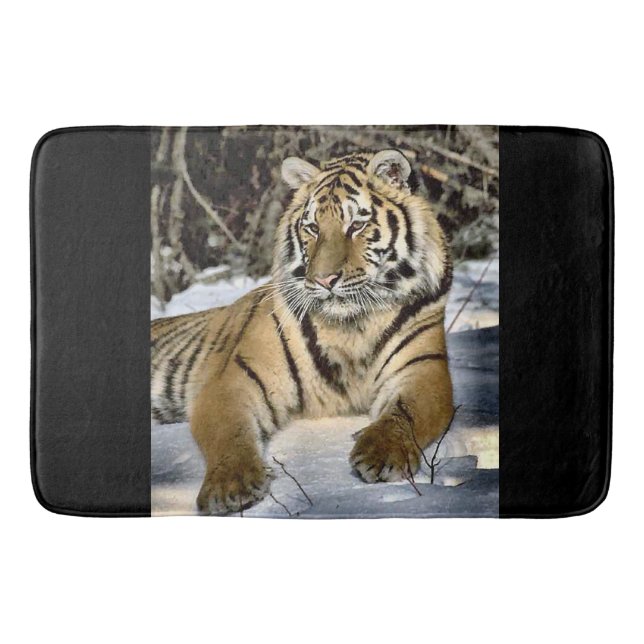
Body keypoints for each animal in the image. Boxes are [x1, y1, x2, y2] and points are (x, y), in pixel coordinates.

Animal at [151, 149, 454, 515]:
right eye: (312, 227)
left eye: (356, 225)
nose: (324, 280)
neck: (351, 326)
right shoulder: (234, 379)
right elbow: (230, 433)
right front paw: (230, 486)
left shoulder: (423, 370)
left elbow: (405, 414)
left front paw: (380, 453)